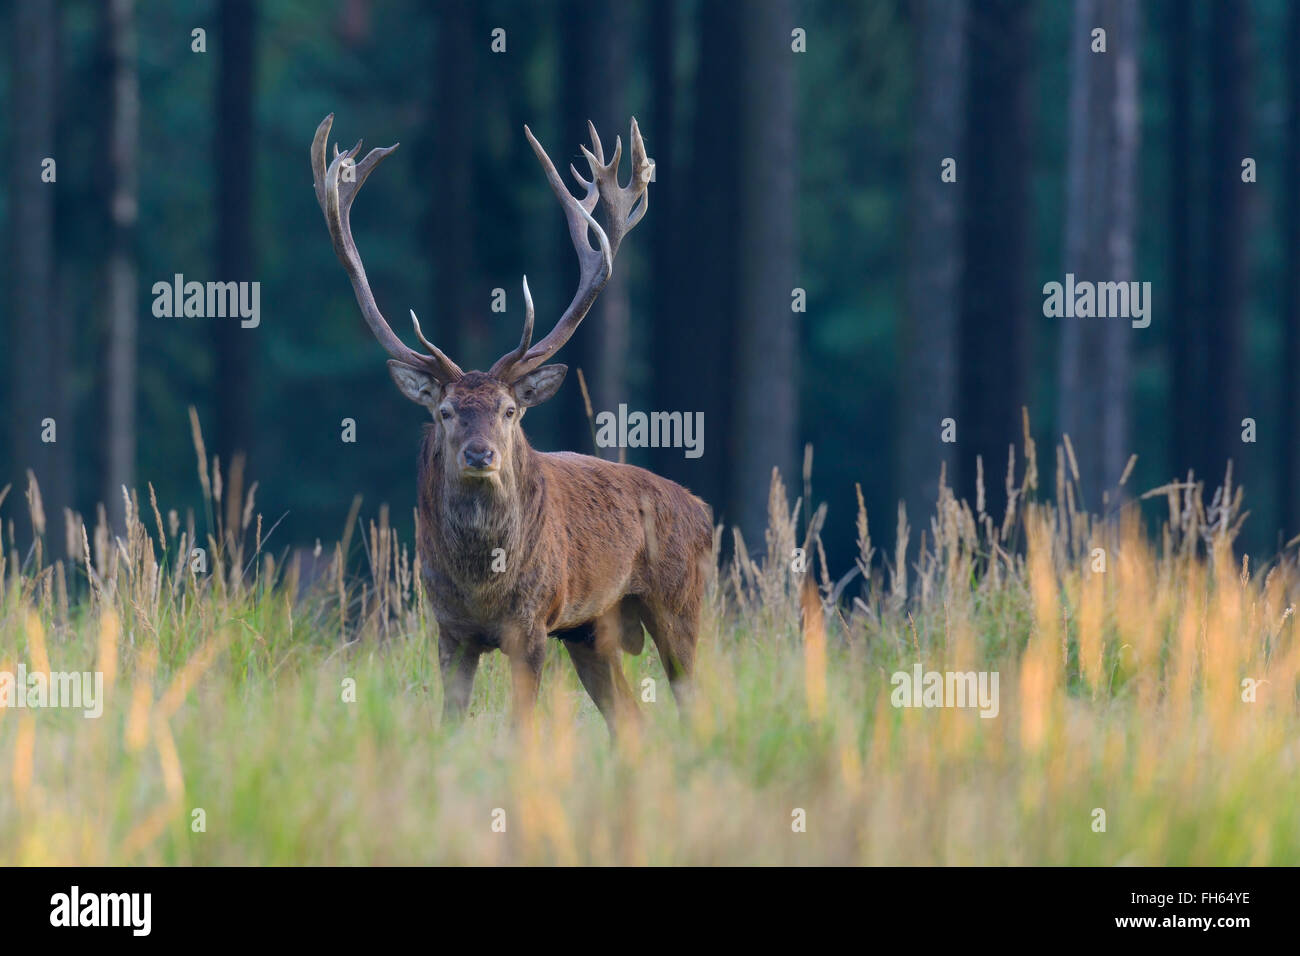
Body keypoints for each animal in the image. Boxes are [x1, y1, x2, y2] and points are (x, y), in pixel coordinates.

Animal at [312, 115, 712, 738]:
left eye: (508, 410)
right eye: (445, 411)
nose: (480, 455)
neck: (484, 586)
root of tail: (703, 510)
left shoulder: (531, 623)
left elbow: (522, 723)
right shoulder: (448, 628)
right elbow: (449, 720)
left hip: (679, 600)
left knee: (691, 700)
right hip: (592, 628)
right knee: (628, 718)